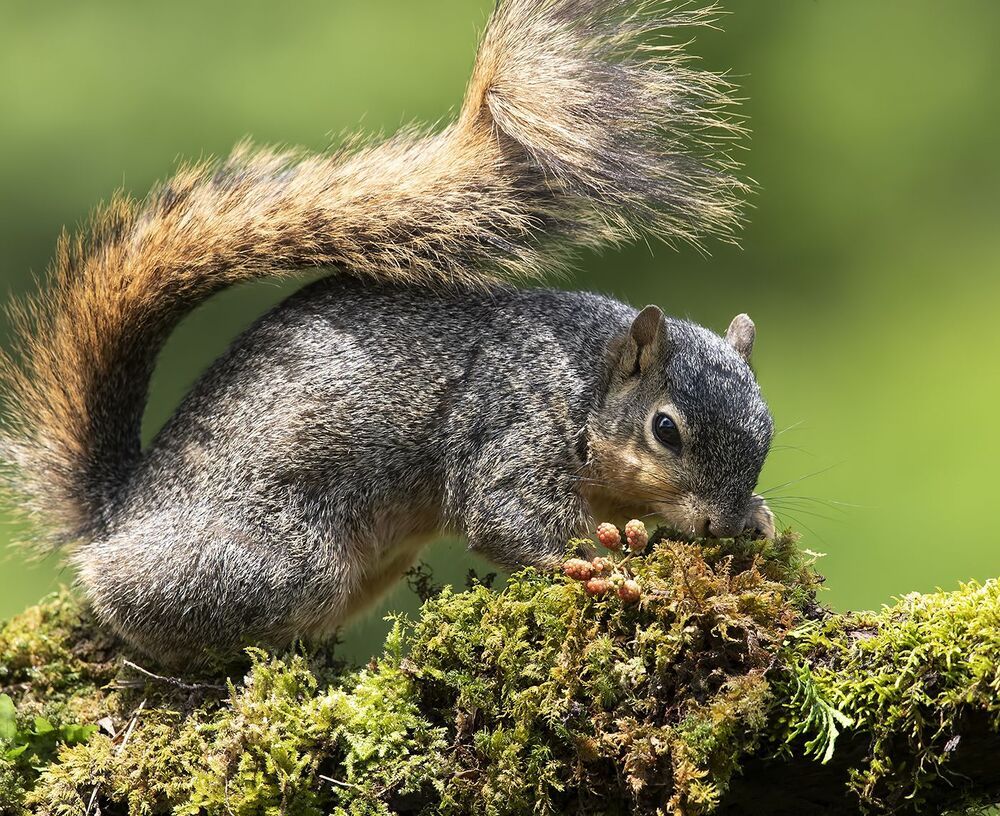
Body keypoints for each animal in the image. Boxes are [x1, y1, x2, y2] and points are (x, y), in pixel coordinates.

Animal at [0, 0, 774, 664]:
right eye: (666, 430)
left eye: (768, 432)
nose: (724, 525)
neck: (585, 383)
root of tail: (119, 517)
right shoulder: (510, 428)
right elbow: (503, 517)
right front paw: (589, 564)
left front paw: (758, 519)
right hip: (275, 560)